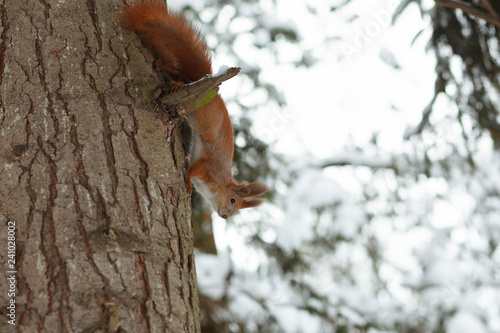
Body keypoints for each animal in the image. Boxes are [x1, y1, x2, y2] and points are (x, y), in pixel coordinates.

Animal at [120, 0, 270, 218]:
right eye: (233, 200)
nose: (225, 216)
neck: (220, 182)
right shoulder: (209, 167)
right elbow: (193, 169)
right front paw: (189, 183)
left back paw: (163, 67)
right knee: (181, 78)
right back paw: (174, 82)